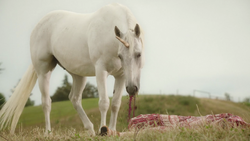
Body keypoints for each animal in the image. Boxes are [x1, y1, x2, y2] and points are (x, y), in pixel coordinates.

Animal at [0, 3, 144, 135]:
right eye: (120, 56)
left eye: (139, 54)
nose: (132, 89)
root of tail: (38, 27)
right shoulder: (101, 71)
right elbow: (104, 102)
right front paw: (103, 130)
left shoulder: (120, 76)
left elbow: (115, 104)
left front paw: (112, 131)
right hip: (43, 72)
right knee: (46, 102)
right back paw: (48, 132)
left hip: (78, 75)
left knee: (74, 99)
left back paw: (90, 130)